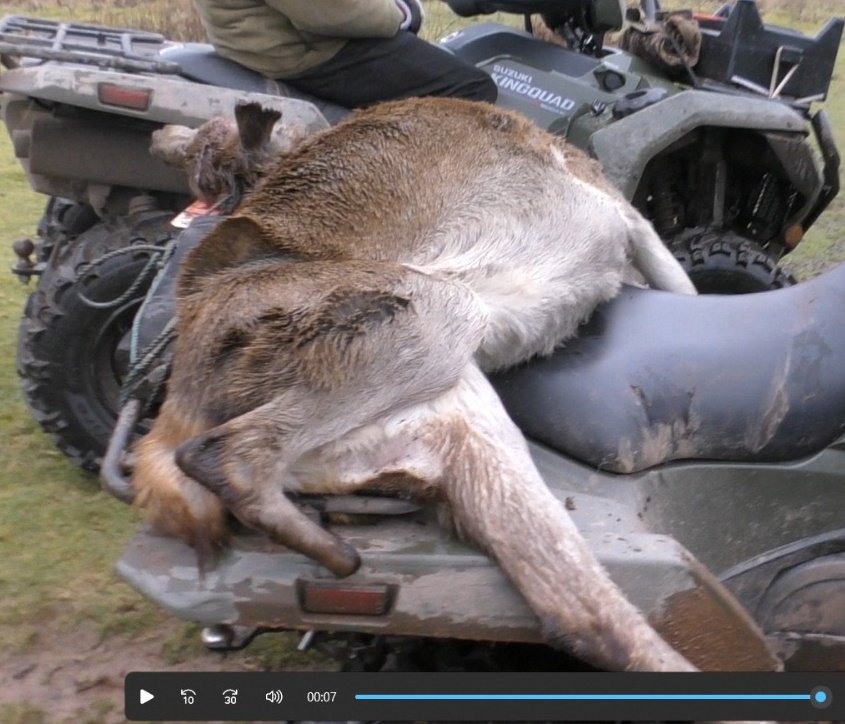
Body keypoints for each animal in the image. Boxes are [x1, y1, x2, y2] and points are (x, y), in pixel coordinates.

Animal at [135, 97, 700, 673]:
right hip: (436, 310)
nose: (160, 138)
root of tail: (173, 410)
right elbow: (684, 283)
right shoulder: (629, 216)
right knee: (226, 453)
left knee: (578, 613)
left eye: (202, 160)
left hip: (450, 423)